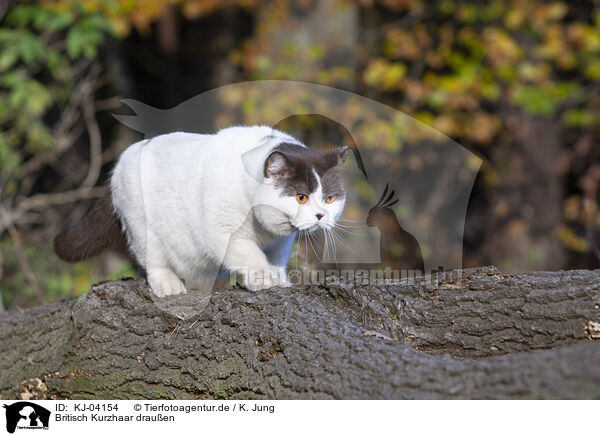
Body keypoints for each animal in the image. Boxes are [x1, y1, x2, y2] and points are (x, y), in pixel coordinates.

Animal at [55, 125, 350, 296]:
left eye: (329, 198)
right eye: (301, 197)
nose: (320, 215)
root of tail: (120, 163)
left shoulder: (281, 240)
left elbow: (276, 258)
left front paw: (279, 278)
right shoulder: (222, 232)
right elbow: (250, 255)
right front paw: (264, 279)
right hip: (142, 227)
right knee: (153, 262)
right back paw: (170, 287)